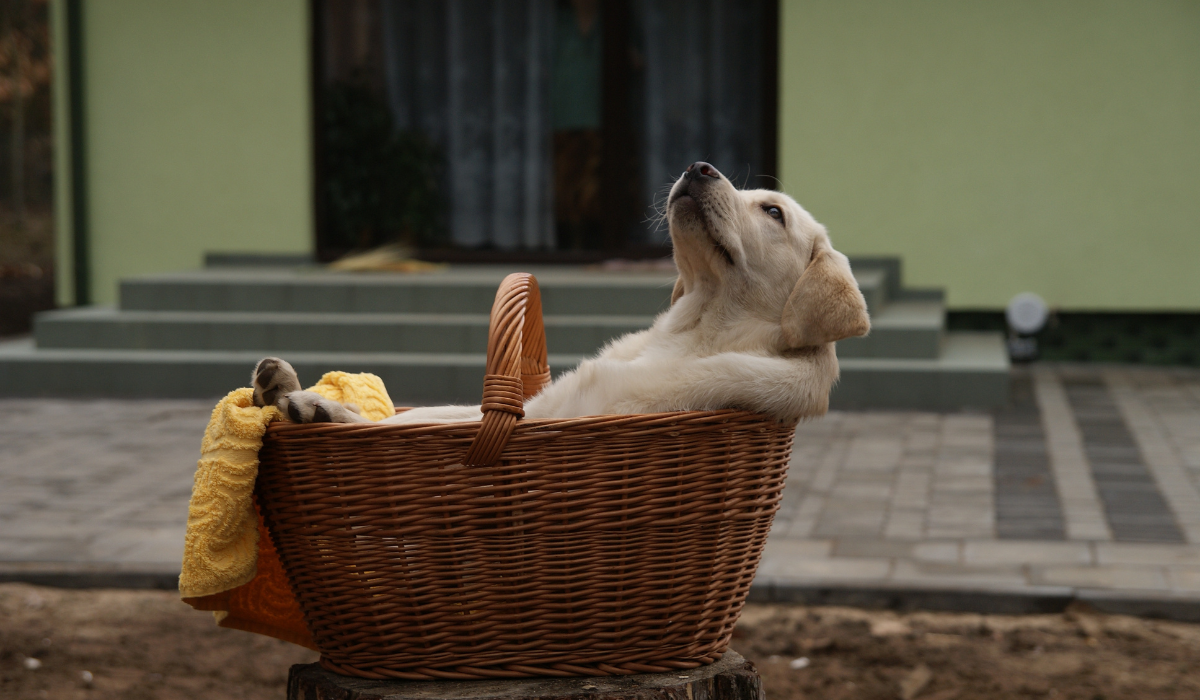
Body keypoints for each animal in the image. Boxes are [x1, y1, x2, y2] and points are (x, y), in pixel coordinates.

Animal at [255, 163, 873, 427]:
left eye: (773, 212)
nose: (699, 166)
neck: (694, 330)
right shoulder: (530, 406)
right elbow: (419, 417)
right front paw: (305, 396)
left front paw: (317, 405)